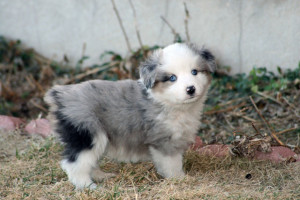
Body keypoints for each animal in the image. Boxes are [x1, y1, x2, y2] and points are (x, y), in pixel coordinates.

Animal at [44, 43, 216, 188]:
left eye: (194, 72)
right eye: (172, 78)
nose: (191, 89)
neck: (171, 104)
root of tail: (60, 95)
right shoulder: (163, 141)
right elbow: (172, 164)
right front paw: (180, 179)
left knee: (88, 163)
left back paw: (101, 176)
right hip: (87, 136)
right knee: (74, 164)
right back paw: (88, 186)